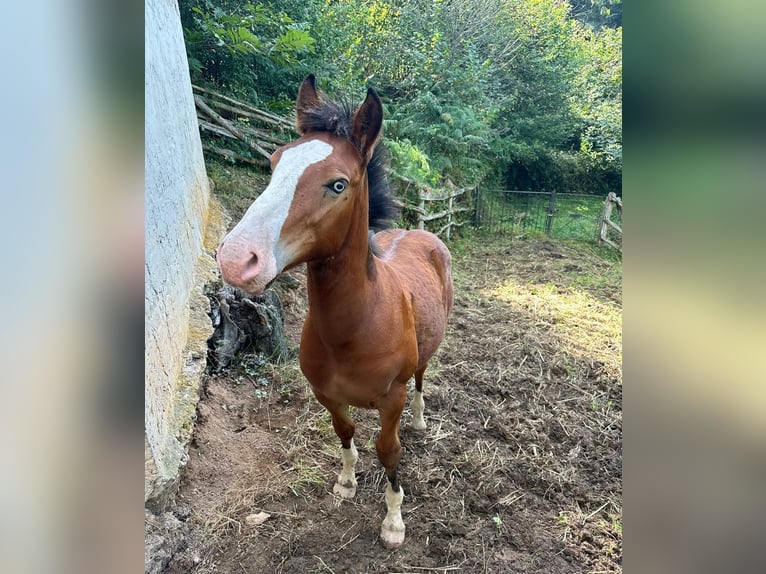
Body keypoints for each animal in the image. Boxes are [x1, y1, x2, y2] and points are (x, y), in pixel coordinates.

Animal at [218, 76, 456, 548]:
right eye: (274, 163)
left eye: (338, 185)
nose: (235, 260)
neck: (357, 328)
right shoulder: (325, 394)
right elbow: (344, 432)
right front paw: (346, 483)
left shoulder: (392, 399)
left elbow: (389, 450)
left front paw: (393, 522)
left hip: (424, 358)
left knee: (422, 379)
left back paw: (421, 421)